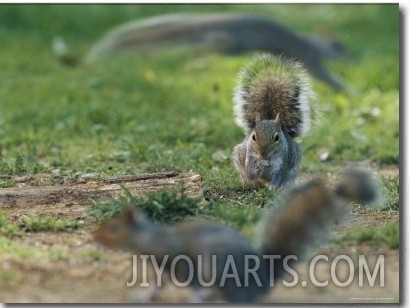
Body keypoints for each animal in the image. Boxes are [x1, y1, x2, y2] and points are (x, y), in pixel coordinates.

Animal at [94, 171, 380, 304]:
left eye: (114, 228)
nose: (96, 237)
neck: (149, 239)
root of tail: (263, 281)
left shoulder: (179, 260)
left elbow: (192, 282)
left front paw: (195, 298)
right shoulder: (158, 267)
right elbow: (156, 285)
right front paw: (143, 297)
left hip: (217, 266)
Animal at [232, 53, 316, 188]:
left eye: (277, 138)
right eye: (253, 137)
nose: (263, 155)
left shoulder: (282, 161)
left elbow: (278, 175)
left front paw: (274, 187)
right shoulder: (249, 156)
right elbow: (250, 172)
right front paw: (259, 165)